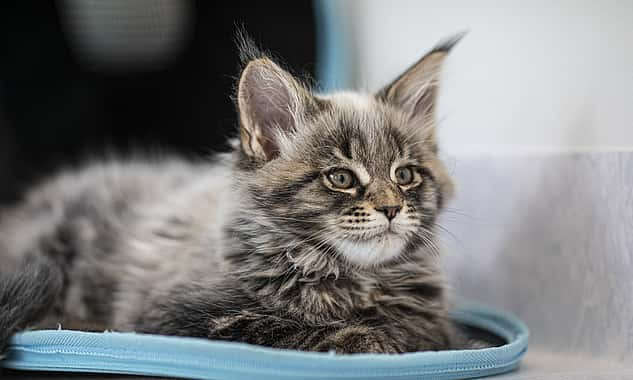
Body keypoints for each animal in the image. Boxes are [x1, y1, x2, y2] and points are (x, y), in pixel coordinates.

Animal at [0, 34, 460, 354]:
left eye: (405, 175)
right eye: (341, 178)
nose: (391, 208)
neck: (355, 281)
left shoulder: (434, 322)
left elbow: (432, 333)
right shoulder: (175, 316)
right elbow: (278, 325)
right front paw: (367, 339)